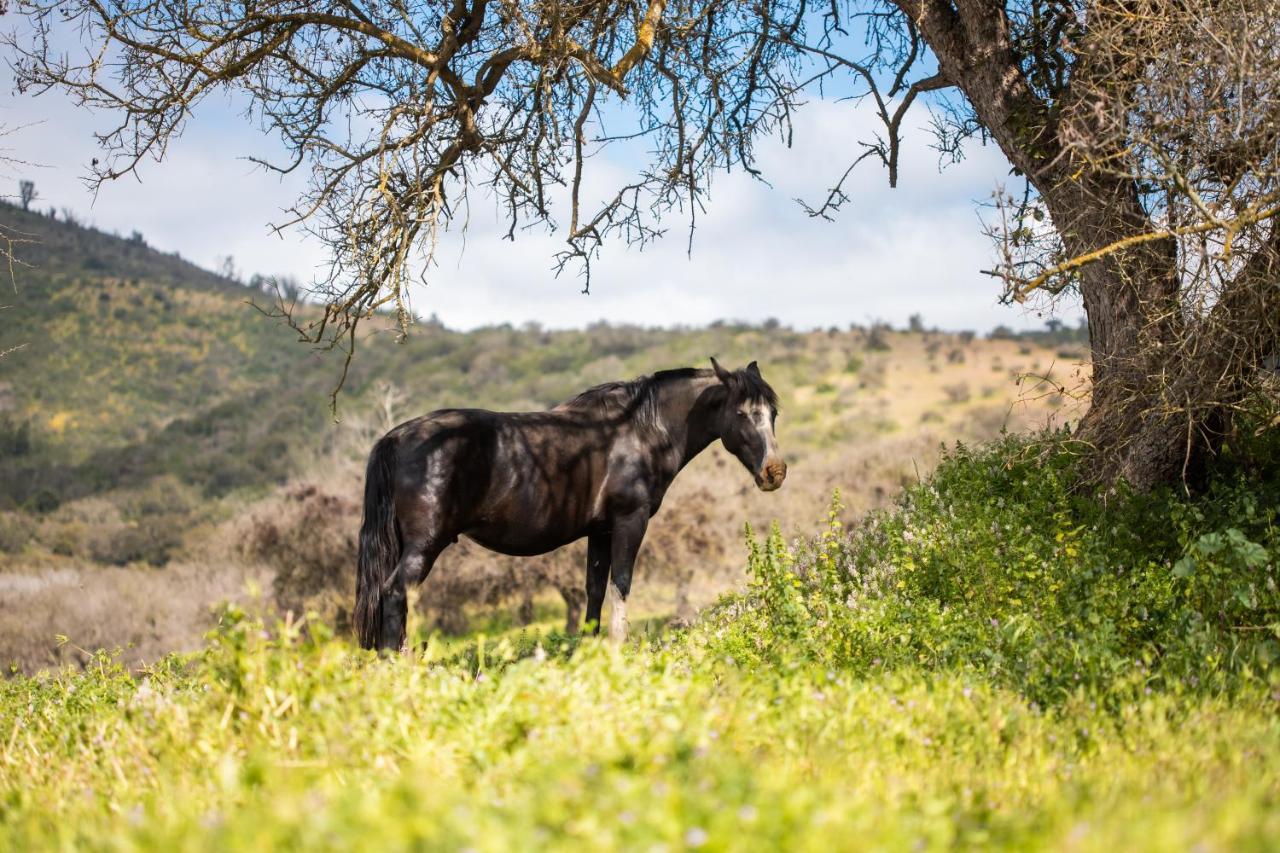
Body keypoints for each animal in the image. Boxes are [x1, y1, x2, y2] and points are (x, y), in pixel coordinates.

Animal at [355, 356, 783, 648]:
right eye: (742, 412)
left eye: (773, 412)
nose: (775, 472)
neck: (640, 430)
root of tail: (396, 437)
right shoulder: (630, 521)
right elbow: (621, 584)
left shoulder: (600, 531)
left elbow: (594, 590)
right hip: (424, 546)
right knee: (394, 594)